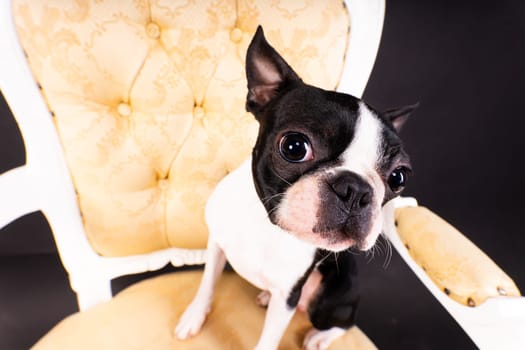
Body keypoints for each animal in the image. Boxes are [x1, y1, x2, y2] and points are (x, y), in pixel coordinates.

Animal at [175, 26, 414, 348]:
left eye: (398, 178)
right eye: (294, 147)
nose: (356, 190)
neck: (265, 224)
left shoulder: (288, 297)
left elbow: (269, 339)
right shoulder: (216, 246)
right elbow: (206, 285)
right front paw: (194, 317)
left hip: (327, 300)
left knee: (345, 322)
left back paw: (320, 338)